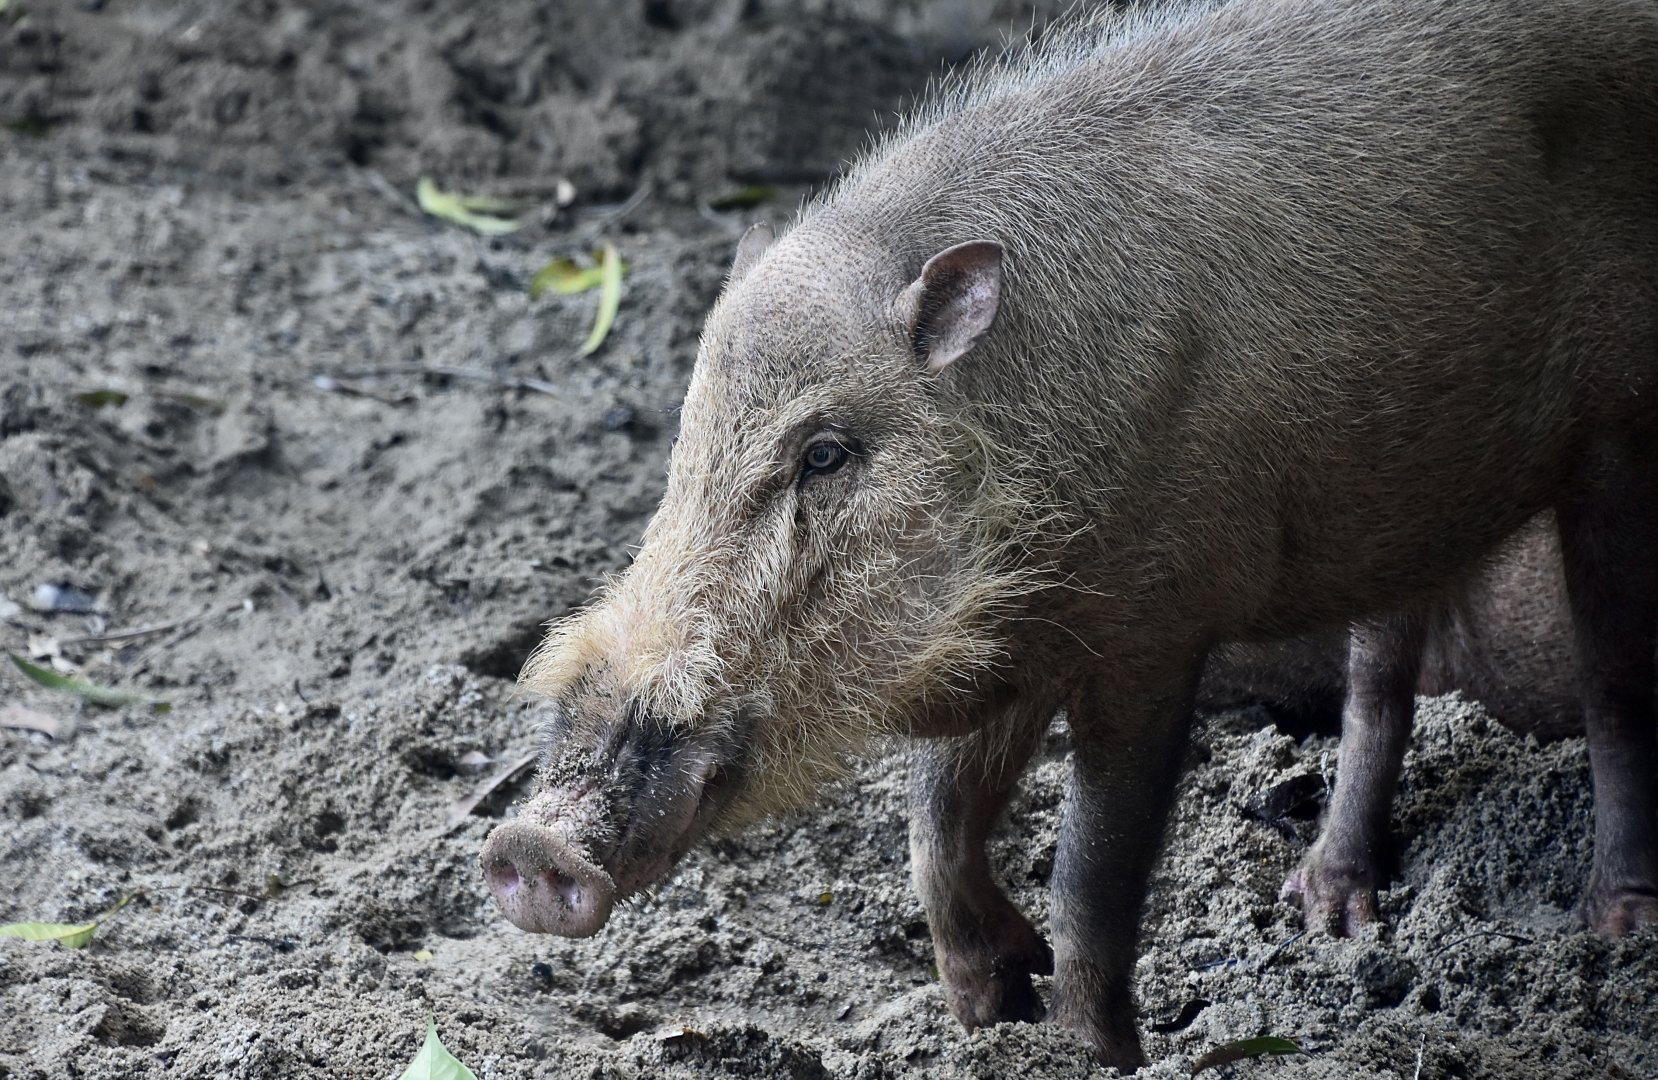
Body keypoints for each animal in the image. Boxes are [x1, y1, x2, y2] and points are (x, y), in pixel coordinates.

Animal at [480, 0, 1658, 1069]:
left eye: (824, 452)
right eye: (686, 441)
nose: (528, 845)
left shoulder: (1152, 630)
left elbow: (1091, 868)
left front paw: (1093, 1049)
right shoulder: (1002, 631)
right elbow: (934, 824)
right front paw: (986, 1008)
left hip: (1613, 442)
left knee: (1612, 679)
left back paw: (1616, 928)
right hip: (1402, 489)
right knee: (1381, 673)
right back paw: (1327, 912)